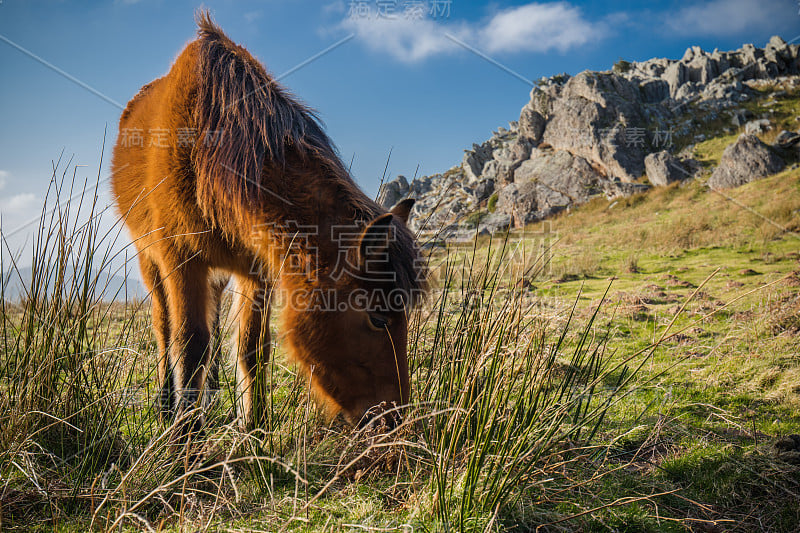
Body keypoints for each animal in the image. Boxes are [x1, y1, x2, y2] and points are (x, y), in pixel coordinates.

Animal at [112, 12, 428, 428]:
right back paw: (167, 405)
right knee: (164, 328)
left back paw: (209, 399)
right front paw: (186, 437)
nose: (394, 420)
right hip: (150, 260)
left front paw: (255, 429)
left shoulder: (256, 269)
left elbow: (251, 349)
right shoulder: (181, 260)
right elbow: (190, 345)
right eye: (377, 318)